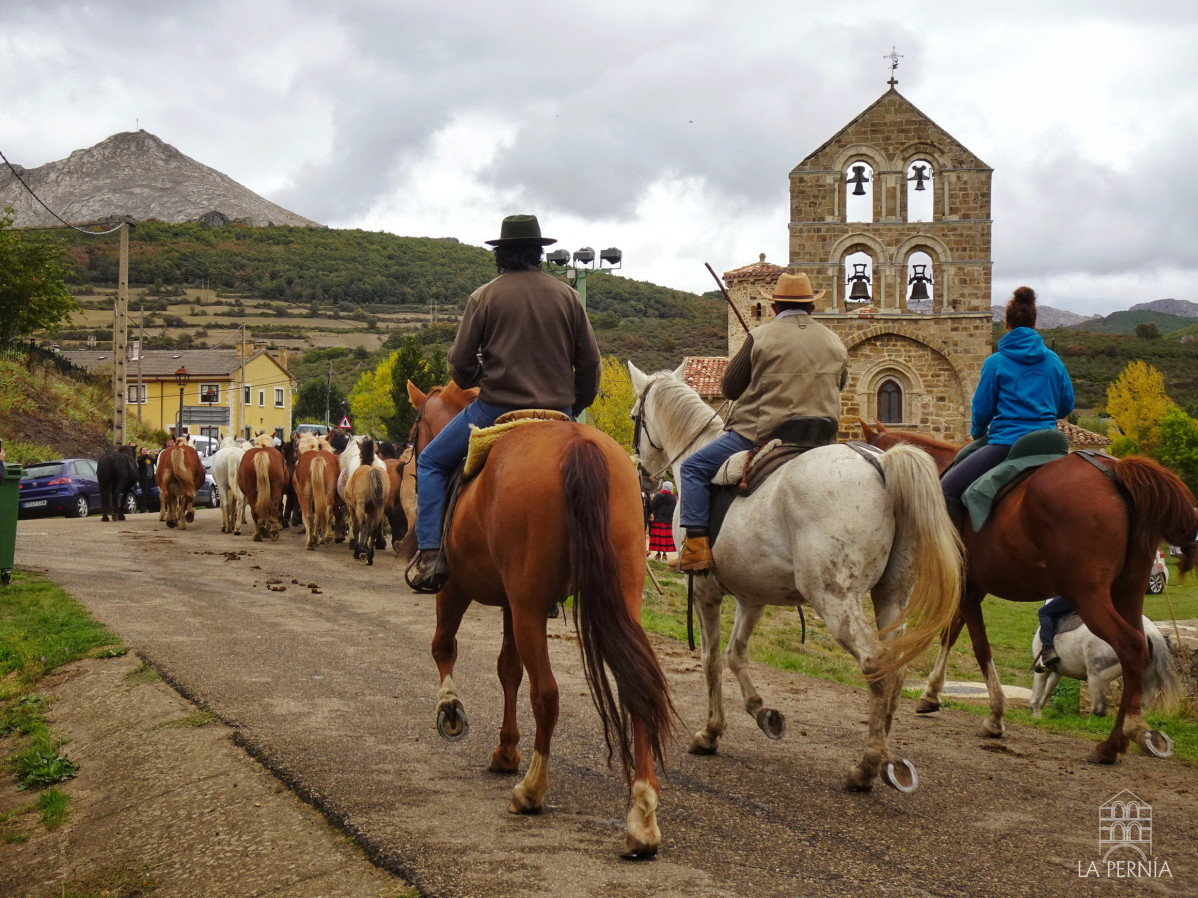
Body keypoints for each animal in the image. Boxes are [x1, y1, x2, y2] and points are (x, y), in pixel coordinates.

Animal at [400, 383, 675, 862]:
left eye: (417, 432)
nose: (408, 464)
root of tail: (580, 446)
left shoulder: (457, 589)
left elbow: (444, 646)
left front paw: (450, 709)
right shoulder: (511, 604)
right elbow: (508, 670)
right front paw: (505, 749)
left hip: (528, 605)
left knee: (546, 694)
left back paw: (531, 790)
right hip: (613, 599)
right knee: (636, 689)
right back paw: (641, 819)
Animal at [627, 366, 963, 795]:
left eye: (635, 416)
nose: (643, 475)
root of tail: (881, 463)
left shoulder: (705, 591)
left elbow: (711, 659)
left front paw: (710, 732)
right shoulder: (752, 596)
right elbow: (736, 653)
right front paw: (763, 714)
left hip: (835, 598)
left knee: (874, 663)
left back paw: (866, 767)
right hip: (891, 596)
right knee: (896, 667)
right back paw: (888, 761)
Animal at [1025, 617, 1183, 723]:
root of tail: (1150, 632)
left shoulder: (1043, 669)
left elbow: (1038, 691)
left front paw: (1036, 713)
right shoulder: (1057, 671)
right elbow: (1048, 689)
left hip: (1097, 674)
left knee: (1098, 710)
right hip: (1144, 678)